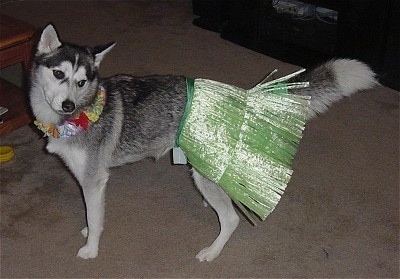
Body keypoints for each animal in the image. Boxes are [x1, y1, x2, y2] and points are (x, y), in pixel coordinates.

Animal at [29, 24, 376, 262]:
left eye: (81, 81)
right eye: (58, 74)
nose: (69, 106)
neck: (80, 111)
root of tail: (241, 97)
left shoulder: (93, 180)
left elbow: (95, 216)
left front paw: (91, 247)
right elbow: (93, 216)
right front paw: (90, 232)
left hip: (203, 172)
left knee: (232, 219)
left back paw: (212, 251)